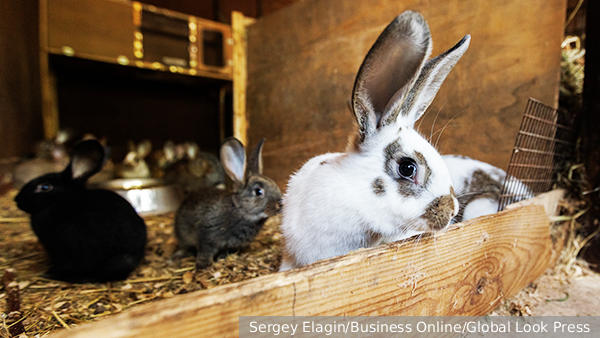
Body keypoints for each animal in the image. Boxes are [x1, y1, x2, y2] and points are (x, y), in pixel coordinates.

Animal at [173, 138, 284, 270]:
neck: (239, 210)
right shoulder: (206, 234)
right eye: (258, 191)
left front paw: (222, 258)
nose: (280, 205)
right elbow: (205, 251)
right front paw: (203, 265)